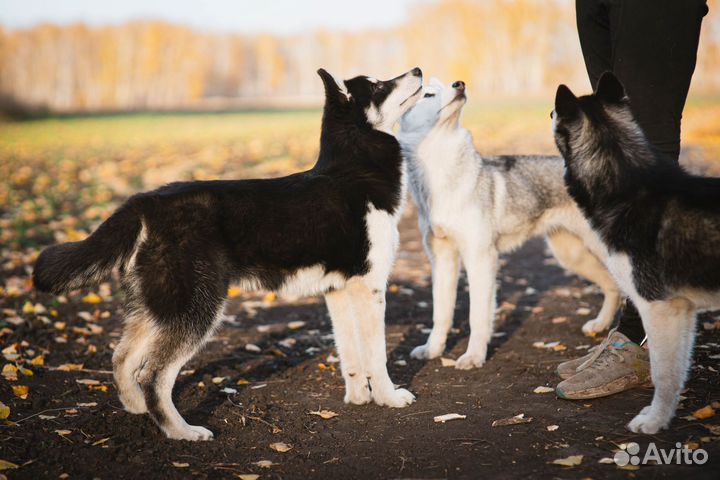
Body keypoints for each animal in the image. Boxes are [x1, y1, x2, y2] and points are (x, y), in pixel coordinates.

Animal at [33, 66, 424, 438]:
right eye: (378, 85)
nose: (419, 70)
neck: (354, 170)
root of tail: (144, 203)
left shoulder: (339, 290)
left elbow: (352, 356)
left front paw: (359, 399)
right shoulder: (369, 286)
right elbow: (377, 355)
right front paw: (389, 397)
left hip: (159, 307)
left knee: (122, 357)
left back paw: (138, 409)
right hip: (196, 309)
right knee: (154, 375)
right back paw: (181, 432)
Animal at [396, 80, 620, 370]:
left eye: (445, 85)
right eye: (428, 93)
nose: (460, 83)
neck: (442, 176)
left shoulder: (481, 259)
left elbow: (477, 317)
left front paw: (474, 356)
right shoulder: (442, 260)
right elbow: (440, 314)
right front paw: (433, 350)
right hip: (571, 256)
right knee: (613, 287)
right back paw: (600, 325)